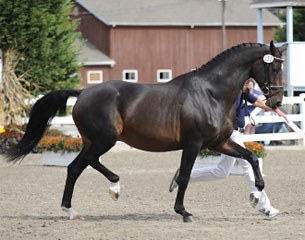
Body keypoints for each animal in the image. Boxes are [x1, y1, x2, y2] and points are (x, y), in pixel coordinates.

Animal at [4, 40, 286, 222]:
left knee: (78, 166)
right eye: (273, 67)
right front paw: (183, 212)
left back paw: (80, 206)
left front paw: (258, 193)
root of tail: (83, 92)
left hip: (94, 140)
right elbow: (185, 177)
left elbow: (251, 157)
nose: (276, 102)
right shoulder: (194, 143)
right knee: (82, 165)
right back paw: (103, 193)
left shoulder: (219, 143)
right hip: (104, 139)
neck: (211, 92)